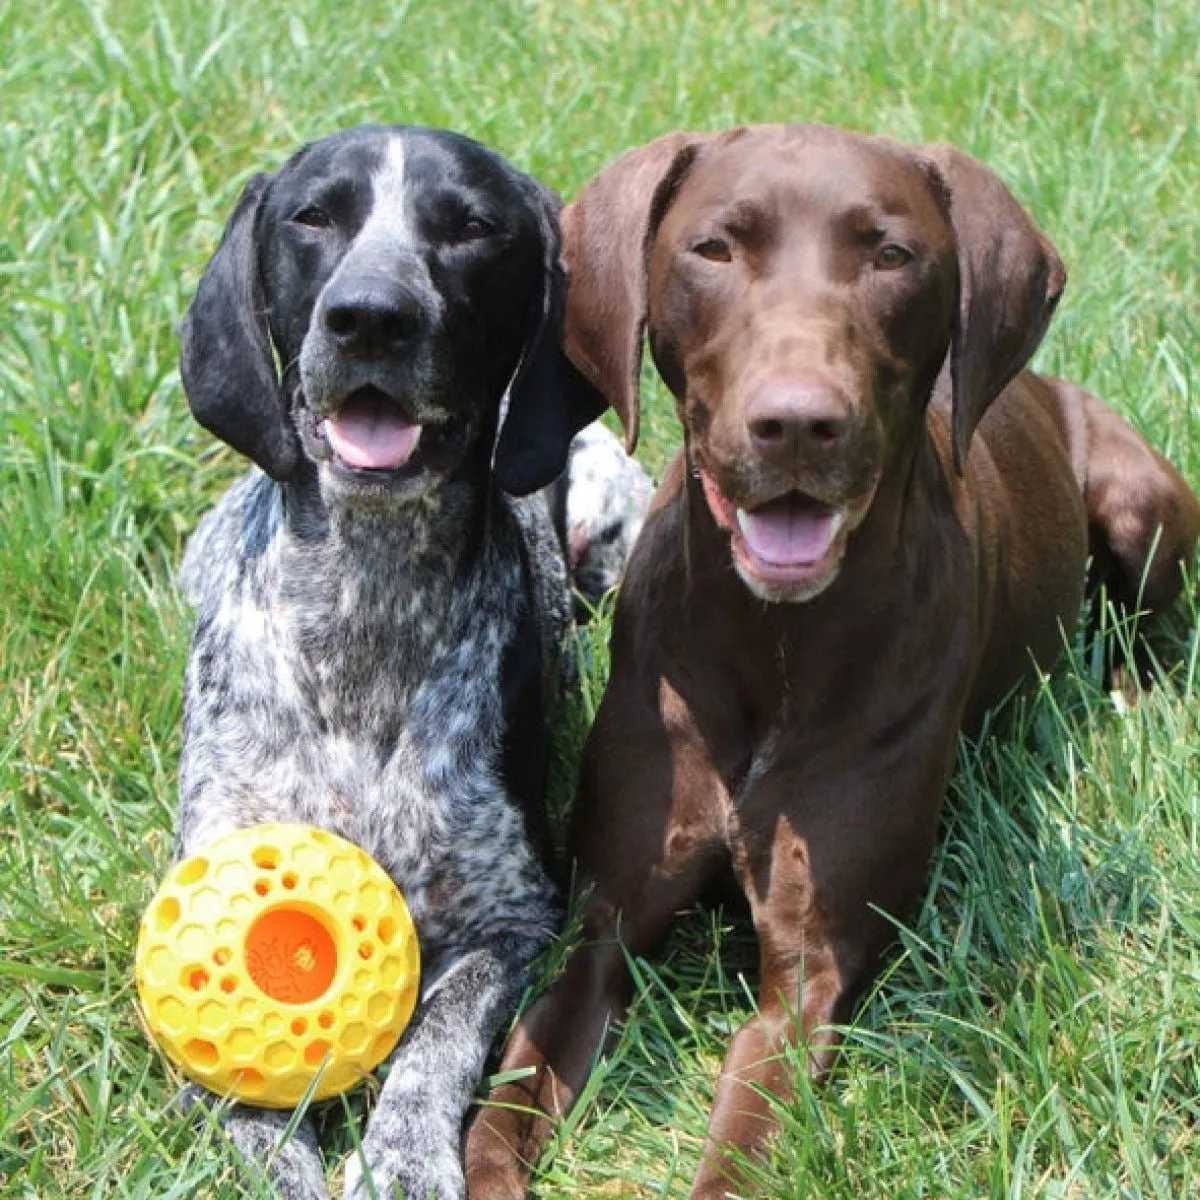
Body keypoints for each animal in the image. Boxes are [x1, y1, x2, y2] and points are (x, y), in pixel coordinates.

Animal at [176, 126, 619, 1195]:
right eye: (313, 216)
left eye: (471, 227)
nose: (371, 316)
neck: (365, 610)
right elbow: (244, 1096)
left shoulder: (516, 919)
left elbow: (435, 1043)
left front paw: (404, 1159)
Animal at [460, 126, 1200, 1195]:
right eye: (714, 249)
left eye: (892, 254)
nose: (799, 424)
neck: (774, 643)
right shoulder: (605, 923)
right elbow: (501, 1113)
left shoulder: (811, 974)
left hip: (1143, 508)